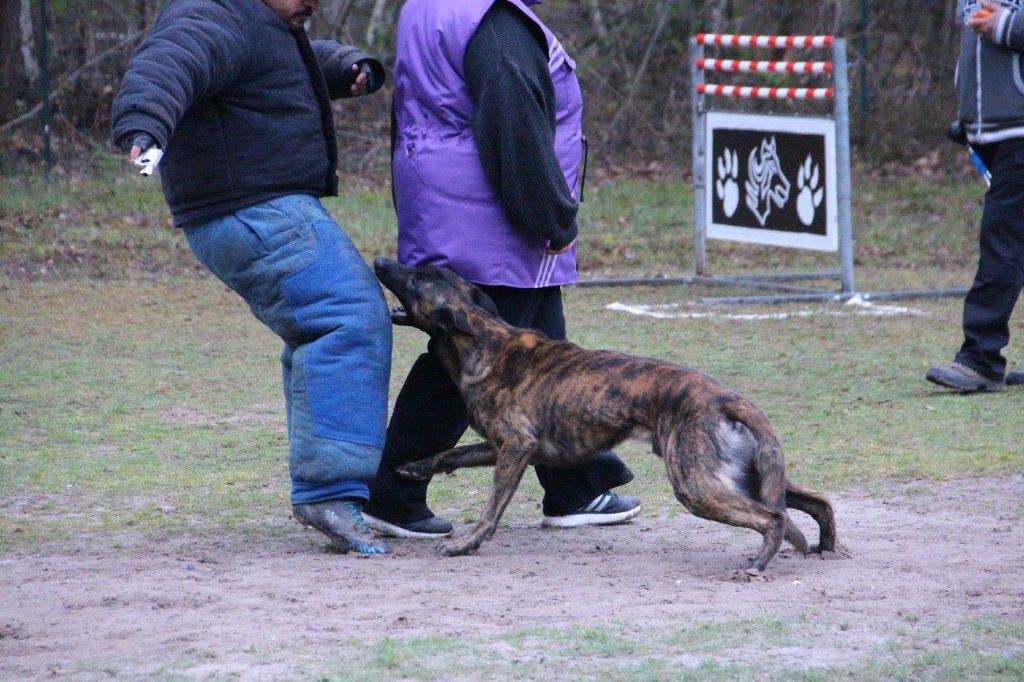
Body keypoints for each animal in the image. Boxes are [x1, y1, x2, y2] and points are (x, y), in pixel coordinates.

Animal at [372, 256, 835, 573]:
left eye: (413, 279)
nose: (379, 261)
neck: (483, 339)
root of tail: (723, 396)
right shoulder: (500, 446)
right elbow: (450, 454)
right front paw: (414, 467)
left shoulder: (517, 447)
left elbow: (491, 508)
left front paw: (465, 544)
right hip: (744, 475)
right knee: (817, 501)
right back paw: (826, 547)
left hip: (697, 485)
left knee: (773, 517)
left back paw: (758, 564)